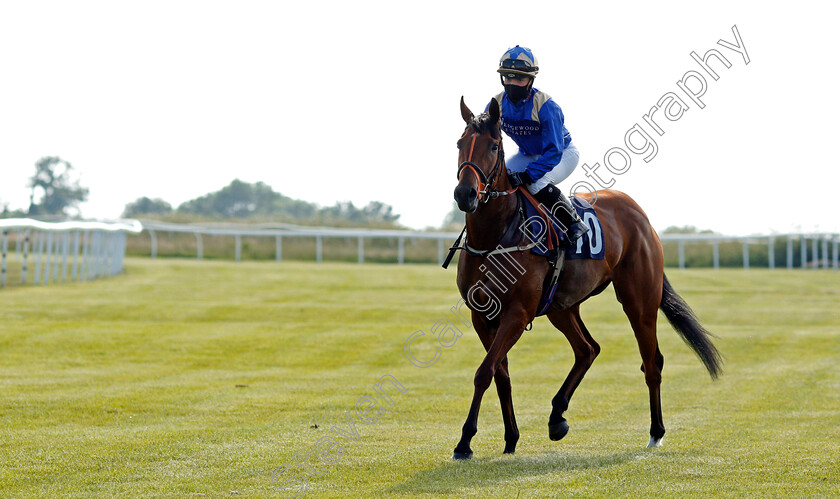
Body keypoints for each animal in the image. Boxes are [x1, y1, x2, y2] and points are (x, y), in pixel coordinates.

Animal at [450, 97, 720, 460]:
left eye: (494, 146)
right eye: (460, 143)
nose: (465, 194)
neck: (496, 235)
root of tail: (641, 216)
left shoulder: (517, 313)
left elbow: (484, 372)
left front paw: (465, 441)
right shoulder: (482, 315)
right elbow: (498, 374)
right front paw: (509, 438)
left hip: (639, 302)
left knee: (651, 363)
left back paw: (655, 432)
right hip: (562, 306)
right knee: (588, 349)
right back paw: (556, 417)